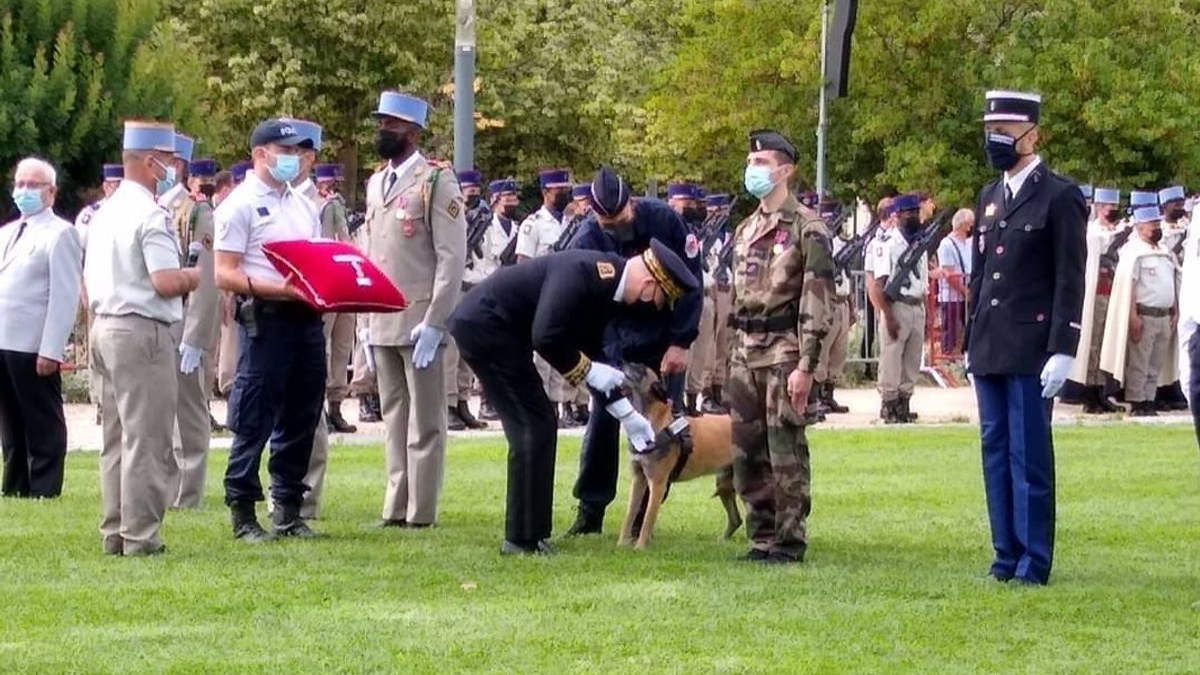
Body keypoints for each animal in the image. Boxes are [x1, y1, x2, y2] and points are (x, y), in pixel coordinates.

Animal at [619, 362, 739, 547]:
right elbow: (629, 515)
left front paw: (640, 547)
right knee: (736, 519)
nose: (620, 362)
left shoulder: (658, 484)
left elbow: (647, 519)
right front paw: (622, 544)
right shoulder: (638, 479)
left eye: (640, 369)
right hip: (725, 483)